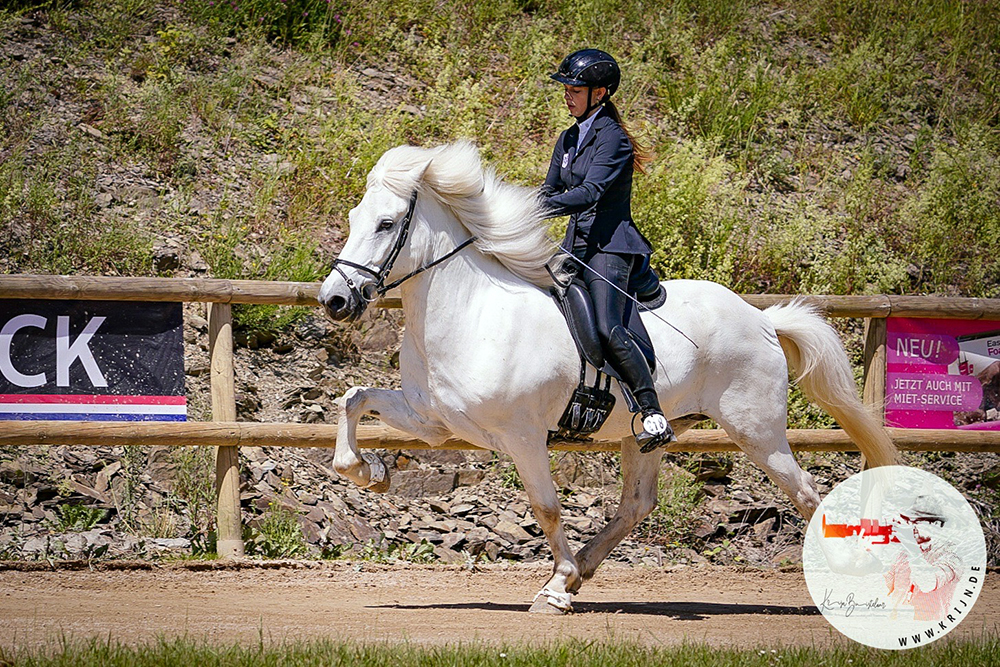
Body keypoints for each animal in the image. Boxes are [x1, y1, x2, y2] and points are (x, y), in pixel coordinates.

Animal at [318, 141, 900, 616]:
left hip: (755, 429)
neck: (470, 310)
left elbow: (547, 507)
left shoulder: (523, 436)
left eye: (386, 224)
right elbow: (353, 399)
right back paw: (579, 574)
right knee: (638, 504)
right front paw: (369, 473)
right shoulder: (433, 420)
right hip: (648, 435)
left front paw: (557, 584)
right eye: (353, 217)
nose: (335, 300)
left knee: (806, 492)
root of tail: (761, 318)